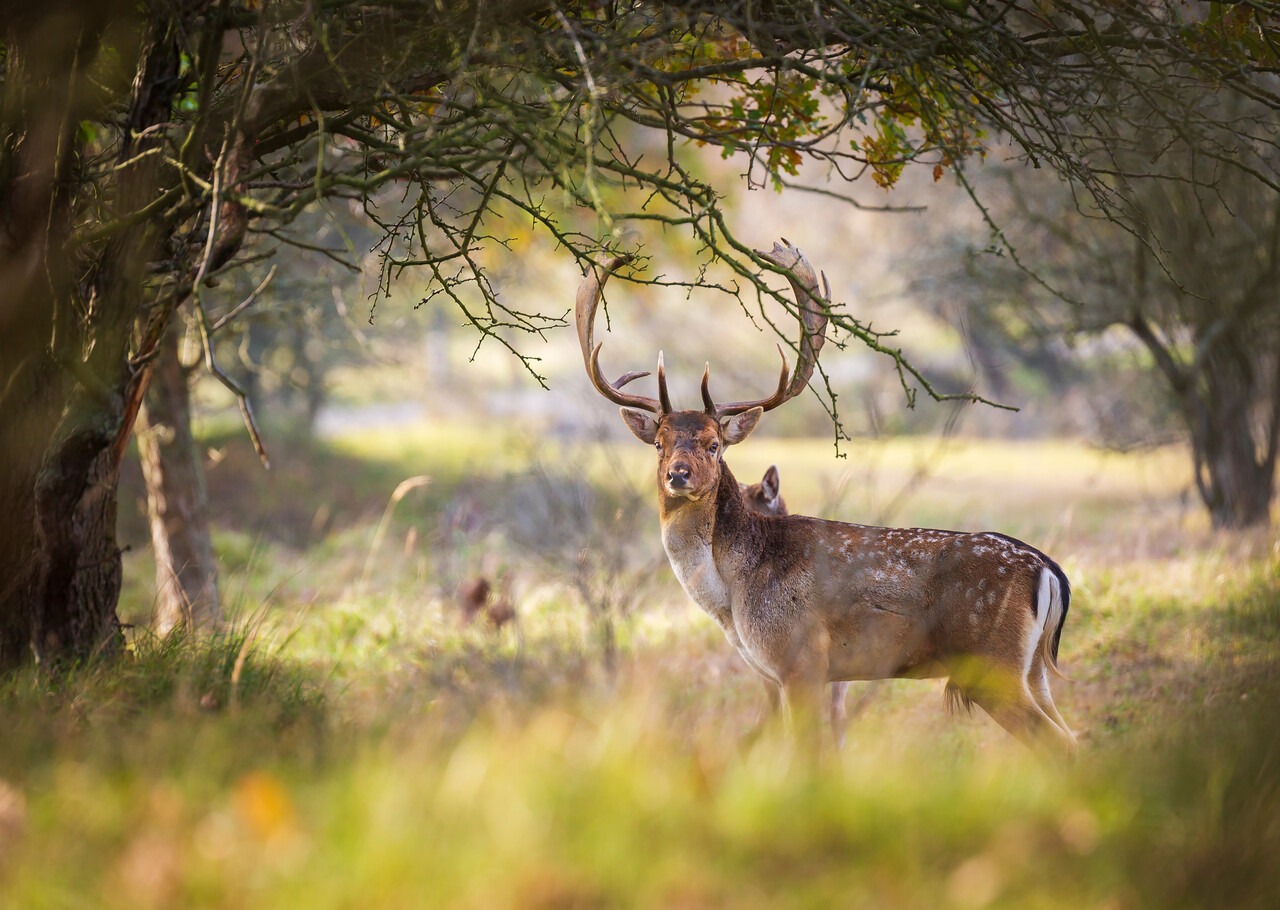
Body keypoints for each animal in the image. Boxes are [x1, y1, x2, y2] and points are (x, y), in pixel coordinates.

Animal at [574, 240, 1077, 758]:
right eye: (659, 443)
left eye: (715, 444)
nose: (678, 474)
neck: (731, 597)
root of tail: (1048, 570)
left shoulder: (800, 660)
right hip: (1032, 670)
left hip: (990, 663)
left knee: (1060, 746)